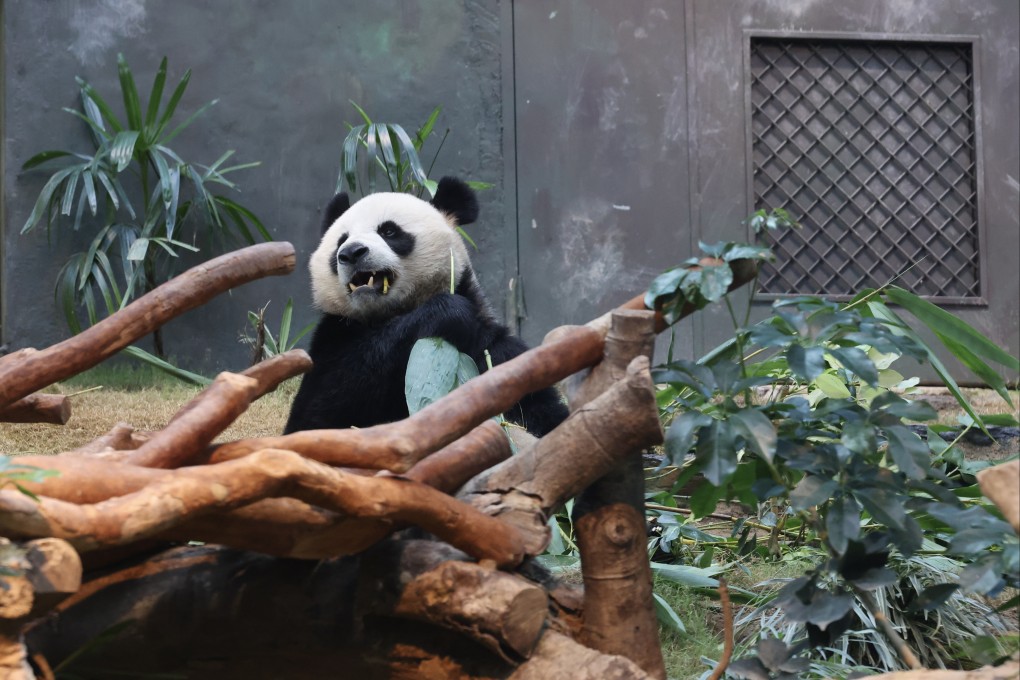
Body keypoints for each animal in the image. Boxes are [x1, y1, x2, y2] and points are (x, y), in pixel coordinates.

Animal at [284, 176, 568, 437]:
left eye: (389, 231)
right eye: (341, 240)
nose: (351, 252)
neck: (386, 314)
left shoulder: (492, 347)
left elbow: (535, 406)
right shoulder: (334, 335)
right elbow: (320, 409)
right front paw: (449, 312)